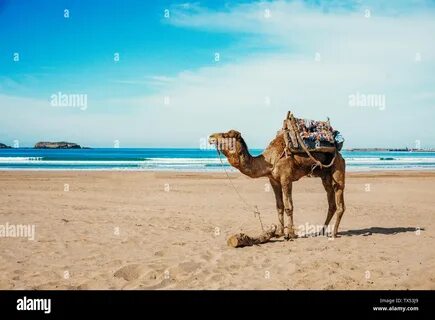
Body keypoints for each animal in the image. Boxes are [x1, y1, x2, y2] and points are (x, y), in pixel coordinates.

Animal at [210, 129, 348, 239]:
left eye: (225, 135)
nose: (211, 137)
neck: (269, 161)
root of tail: (340, 154)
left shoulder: (286, 178)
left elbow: (289, 206)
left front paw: (290, 234)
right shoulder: (274, 180)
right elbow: (279, 206)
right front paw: (280, 232)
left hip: (338, 168)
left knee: (339, 196)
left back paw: (334, 233)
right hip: (325, 176)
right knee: (331, 201)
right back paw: (321, 231)